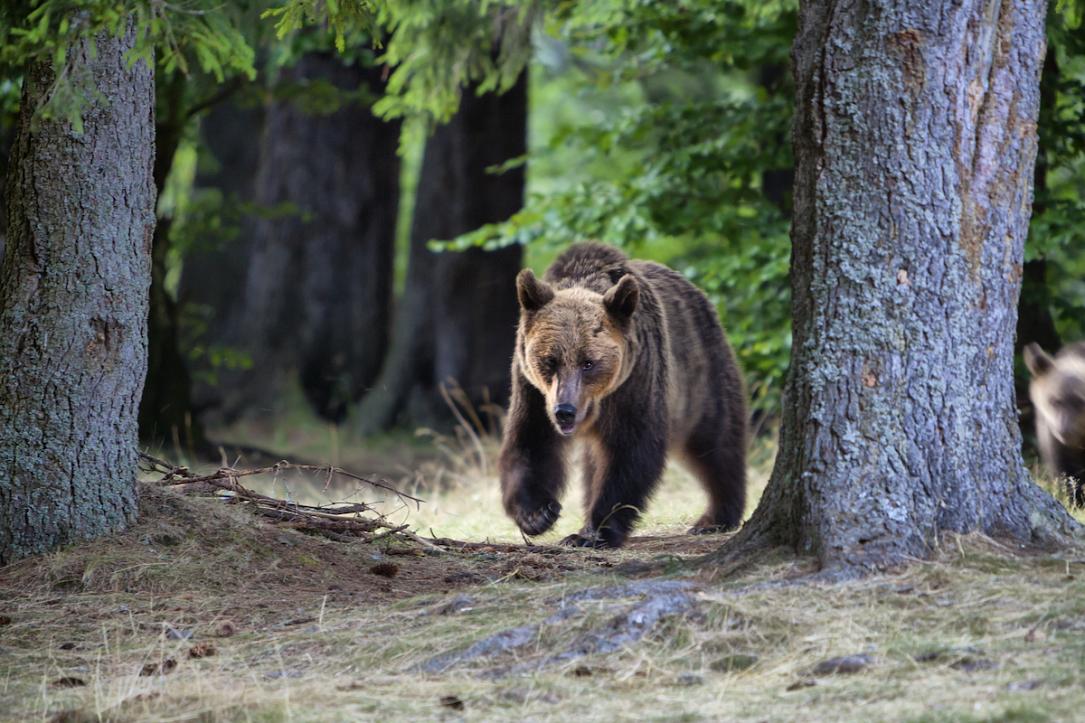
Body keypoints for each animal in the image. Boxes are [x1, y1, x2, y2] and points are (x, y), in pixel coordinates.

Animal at [496, 242, 746, 547]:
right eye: (550, 360)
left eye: (588, 362)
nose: (565, 411)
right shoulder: (531, 389)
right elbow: (530, 441)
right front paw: (538, 514)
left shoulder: (635, 381)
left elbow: (630, 451)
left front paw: (592, 532)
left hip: (701, 377)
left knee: (715, 442)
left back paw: (715, 517)